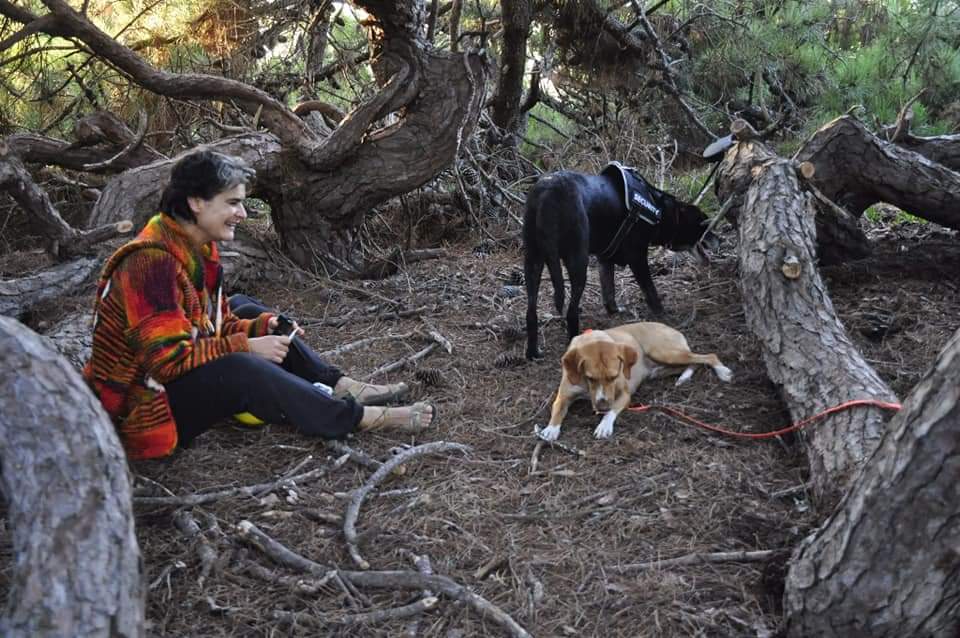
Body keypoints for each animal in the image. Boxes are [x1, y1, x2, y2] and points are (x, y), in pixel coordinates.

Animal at [520, 165, 716, 362]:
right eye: (703, 223)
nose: (718, 238)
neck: (660, 210)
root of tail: (547, 192)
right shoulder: (638, 258)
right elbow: (650, 290)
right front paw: (662, 314)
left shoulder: (604, 259)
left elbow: (609, 290)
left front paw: (614, 310)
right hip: (577, 262)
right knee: (571, 311)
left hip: (532, 262)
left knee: (531, 313)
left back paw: (532, 352)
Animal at [536, 322, 732, 442]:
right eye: (590, 378)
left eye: (614, 376)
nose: (601, 407)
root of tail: (668, 326)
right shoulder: (563, 395)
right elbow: (557, 410)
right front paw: (551, 428)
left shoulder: (624, 394)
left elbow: (613, 410)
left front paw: (604, 426)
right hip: (665, 359)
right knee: (692, 363)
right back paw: (679, 376)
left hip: (664, 352)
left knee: (706, 357)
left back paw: (723, 372)